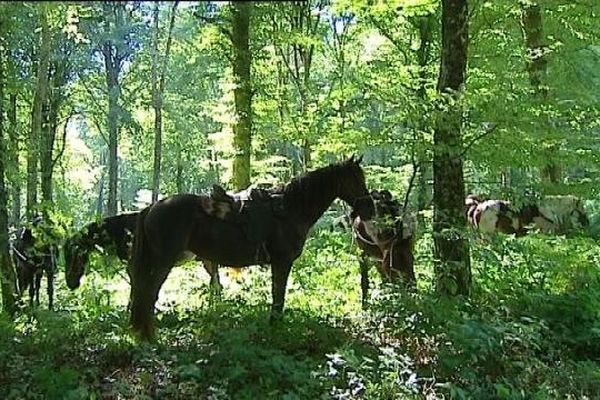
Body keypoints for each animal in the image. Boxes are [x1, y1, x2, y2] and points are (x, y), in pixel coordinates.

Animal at [63, 212, 223, 294]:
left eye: (72, 257)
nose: (71, 284)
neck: (118, 231)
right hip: (206, 258)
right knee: (216, 281)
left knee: (215, 280)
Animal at [130, 156, 376, 340]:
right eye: (355, 179)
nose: (369, 209)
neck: (291, 210)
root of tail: (152, 207)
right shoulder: (282, 262)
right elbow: (278, 298)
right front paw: (276, 329)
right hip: (164, 262)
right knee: (148, 295)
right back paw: (150, 338)